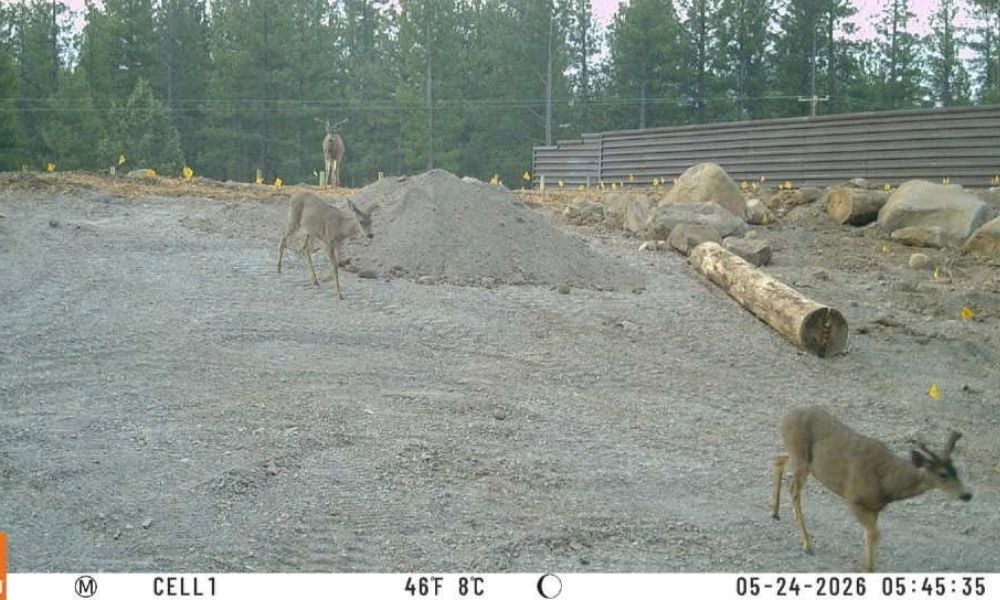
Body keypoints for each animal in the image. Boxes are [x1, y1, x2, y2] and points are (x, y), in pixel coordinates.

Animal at [771, 406, 972, 572]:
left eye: (956, 470)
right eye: (942, 474)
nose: (967, 494)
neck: (887, 483)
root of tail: (783, 419)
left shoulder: (876, 508)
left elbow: (871, 535)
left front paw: (867, 564)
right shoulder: (853, 498)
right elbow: (874, 534)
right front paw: (867, 568)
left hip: (802, 461)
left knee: (779, 459)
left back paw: (775, 512)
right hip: (801, 458)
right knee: (794, 492)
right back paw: (807, 543)